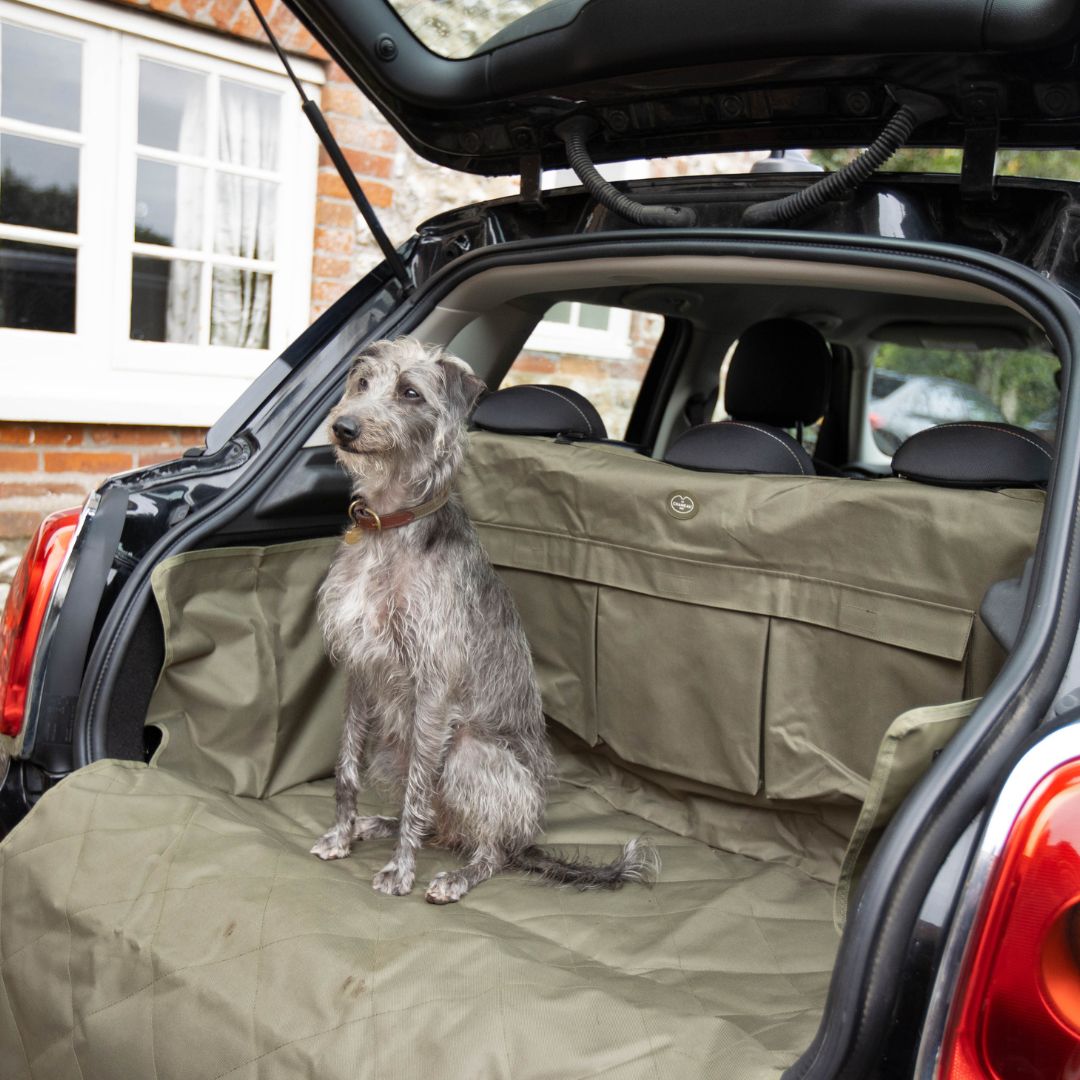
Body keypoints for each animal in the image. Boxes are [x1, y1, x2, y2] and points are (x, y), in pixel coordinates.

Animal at [306, 336, 656, 902]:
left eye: (410, 392)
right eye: (361, 383)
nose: (344, 428)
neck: (390, 525)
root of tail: (527, 835)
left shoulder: (433, 683)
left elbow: (418, 791)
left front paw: (399, 871)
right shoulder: (359, 668)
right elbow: (346, 769)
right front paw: (341, 834)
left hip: (468, 754)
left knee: (487, 849)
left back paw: (457, 875)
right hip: (393, 748)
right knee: (436, 820)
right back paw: (376, 825)